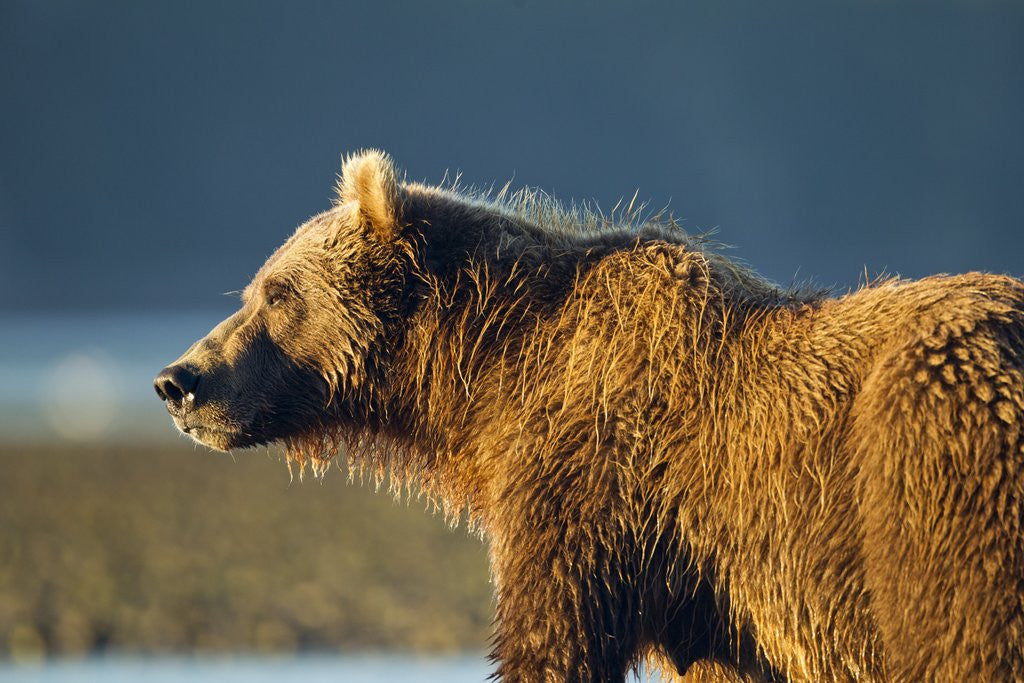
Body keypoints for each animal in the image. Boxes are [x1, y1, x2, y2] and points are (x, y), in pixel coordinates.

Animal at [155, 150, 1024, 682]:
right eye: (254, 287)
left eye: (279, 293)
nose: (179, 379)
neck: (491, 375)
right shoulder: (714, 598)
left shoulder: (598, 475)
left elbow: (554, 634)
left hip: (928, 471)